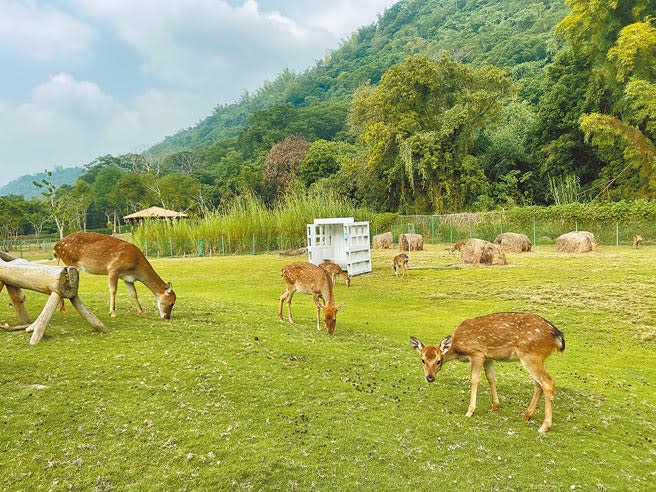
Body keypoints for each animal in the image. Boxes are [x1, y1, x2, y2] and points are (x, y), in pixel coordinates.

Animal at [410, 312, 564, 434]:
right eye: (422, 360)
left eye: (438, 361)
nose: (429, 378)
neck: (458, 349)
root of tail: (558, 336)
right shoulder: (488, 357)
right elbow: (491, 378)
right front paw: (495, 406)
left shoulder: (477, 353)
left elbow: (474, 379)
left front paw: (470, 411)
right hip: (536, 358)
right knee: (538, 384)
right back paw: (527, 415)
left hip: (531, 355)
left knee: (547, 383)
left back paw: (544, 427)